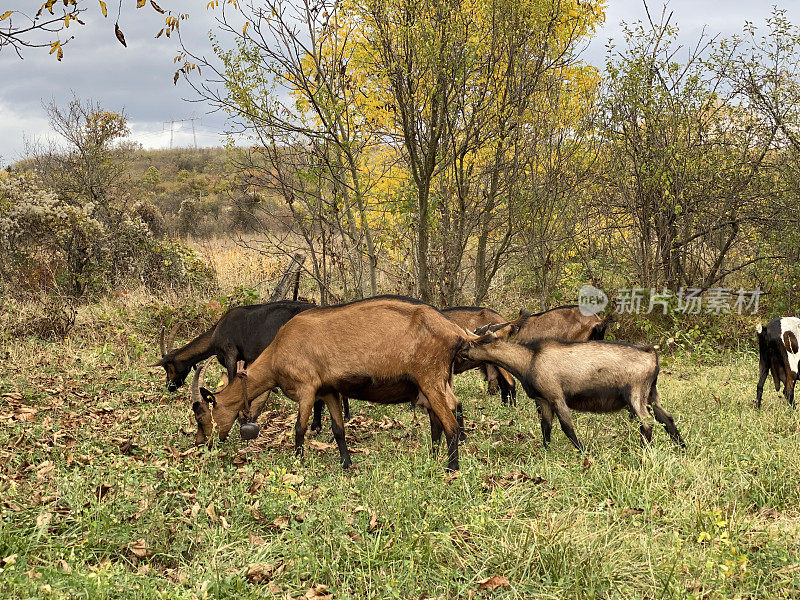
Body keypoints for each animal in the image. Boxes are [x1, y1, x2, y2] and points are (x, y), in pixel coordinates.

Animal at [460, 336, 684, 452]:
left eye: (470, 344)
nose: (459, 352)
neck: (528, 360)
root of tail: (653, 356)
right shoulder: (543, 400)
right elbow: (546, 427)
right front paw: (546, 451)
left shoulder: (557, 396)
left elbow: (567, 427)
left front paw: (583, 451)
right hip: (651, 394)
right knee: (667, 418)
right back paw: (681, 447)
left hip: (636, 393)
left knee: (647, 421)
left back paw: (642, 450)